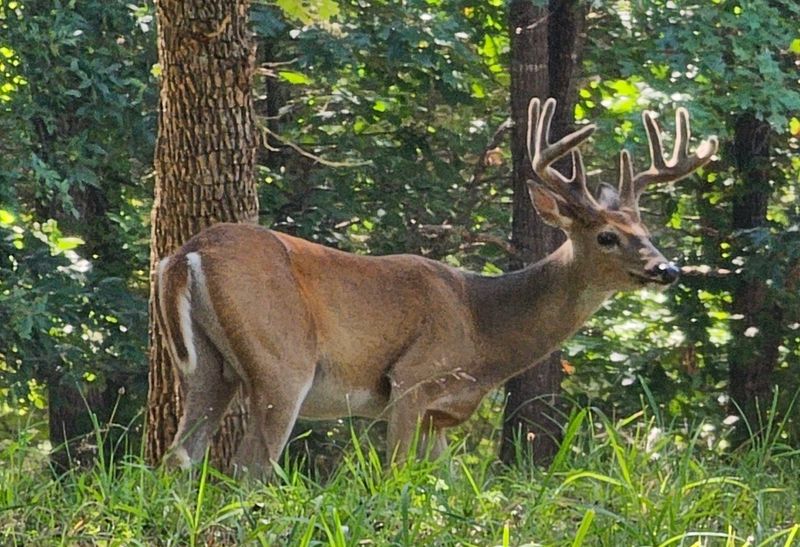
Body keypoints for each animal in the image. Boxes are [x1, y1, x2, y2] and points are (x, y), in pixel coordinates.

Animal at [155, 98, 717, 475]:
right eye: (606, 237)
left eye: (647, 231)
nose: (667, 269)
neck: (483, 328)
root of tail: (187, 253)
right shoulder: (412, 379)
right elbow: (395, 477)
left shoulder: (438, 418)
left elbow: (446, 486)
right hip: (283, 359)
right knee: (248, 468)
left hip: (208, 368)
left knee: (179, 457)